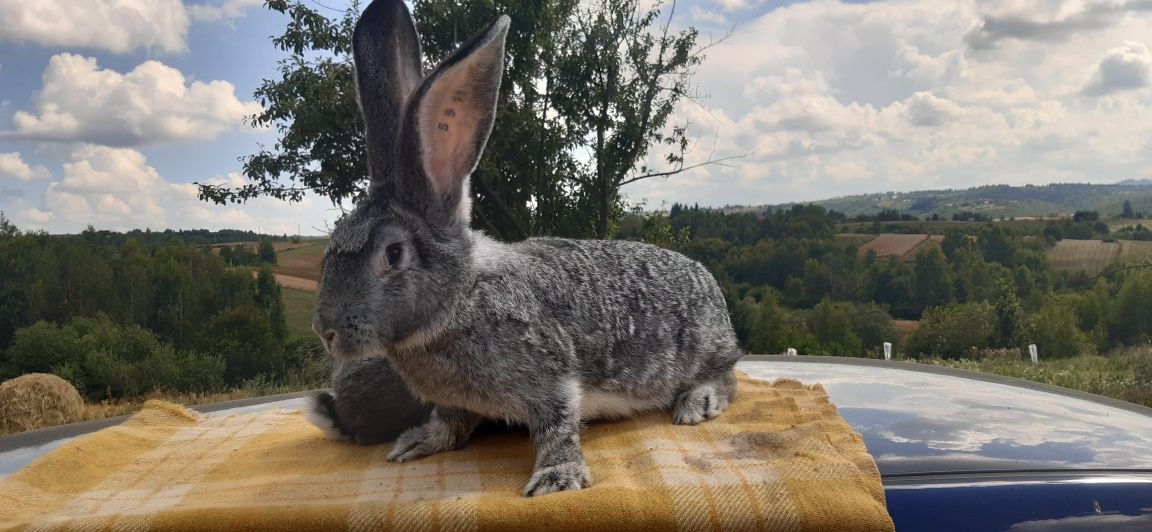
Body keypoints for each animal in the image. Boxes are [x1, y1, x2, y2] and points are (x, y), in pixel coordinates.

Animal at [313, 0, 746, 499]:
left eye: (393, 255)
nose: (326, 331)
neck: (463, 299)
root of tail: (711, 286)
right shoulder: (457, 401)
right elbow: (450, 420)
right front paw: (417, 442)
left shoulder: (549, 374)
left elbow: (558, 423)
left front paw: (557, 479)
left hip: (705, 348)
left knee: (727, 376)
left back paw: (697, 403)